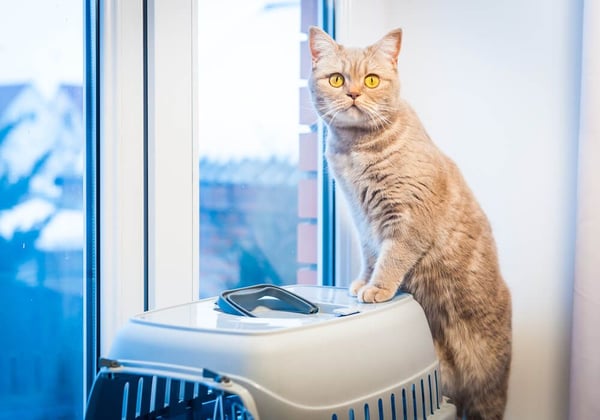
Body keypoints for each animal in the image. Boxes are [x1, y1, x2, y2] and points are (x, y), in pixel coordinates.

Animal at [310, 27, 510, 420]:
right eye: (337, 79)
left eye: (372, 80)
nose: (354, 94)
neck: (354, 151)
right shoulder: (362, 219)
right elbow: (371, 255)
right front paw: (363, 282)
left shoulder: (407, 219)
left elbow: (393, 257)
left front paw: (377, 287)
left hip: (488, 388)